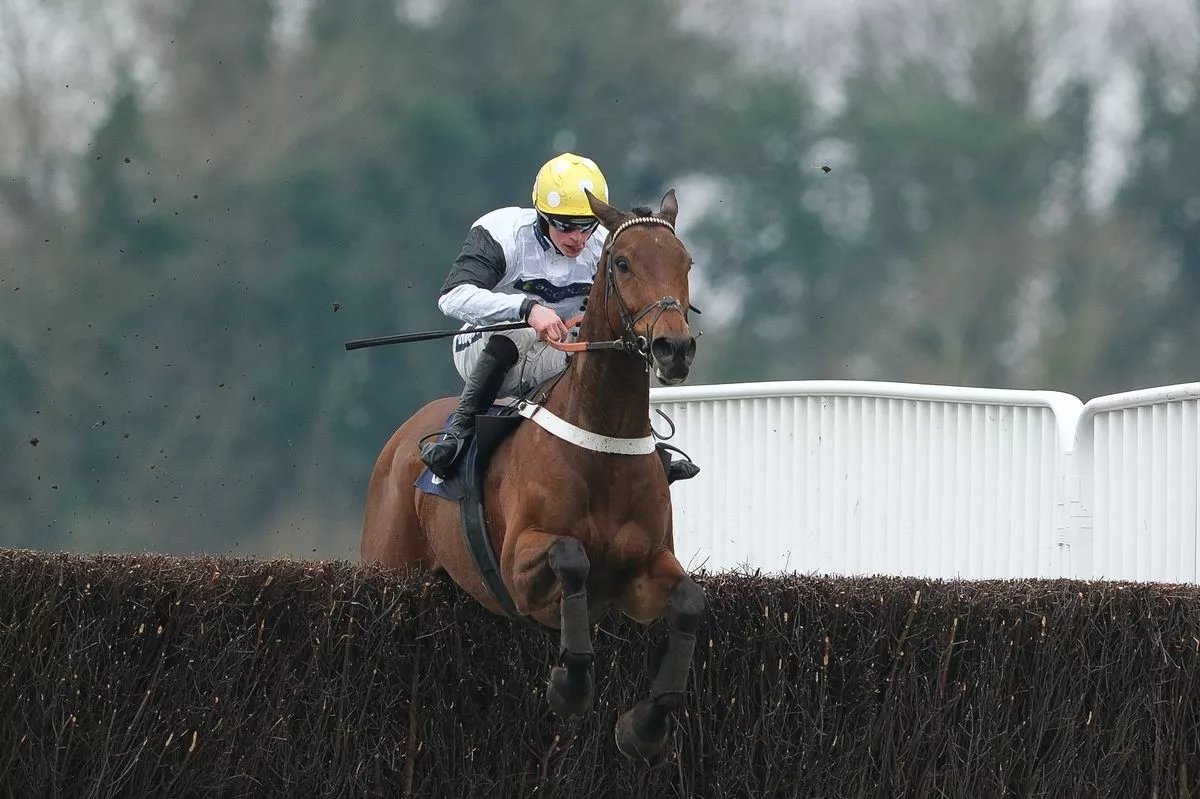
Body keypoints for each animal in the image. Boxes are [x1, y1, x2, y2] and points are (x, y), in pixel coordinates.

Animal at [360, 188, 702, 761]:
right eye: (623, 262)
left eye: (686, 262)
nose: (673, 348)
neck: (601, 444)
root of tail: (402, 437)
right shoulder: (519, 569)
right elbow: (572, 557)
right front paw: (571, 686)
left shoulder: (643, 573)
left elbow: (689, 602)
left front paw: (645, 726)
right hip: (387, 565)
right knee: (500, 342)